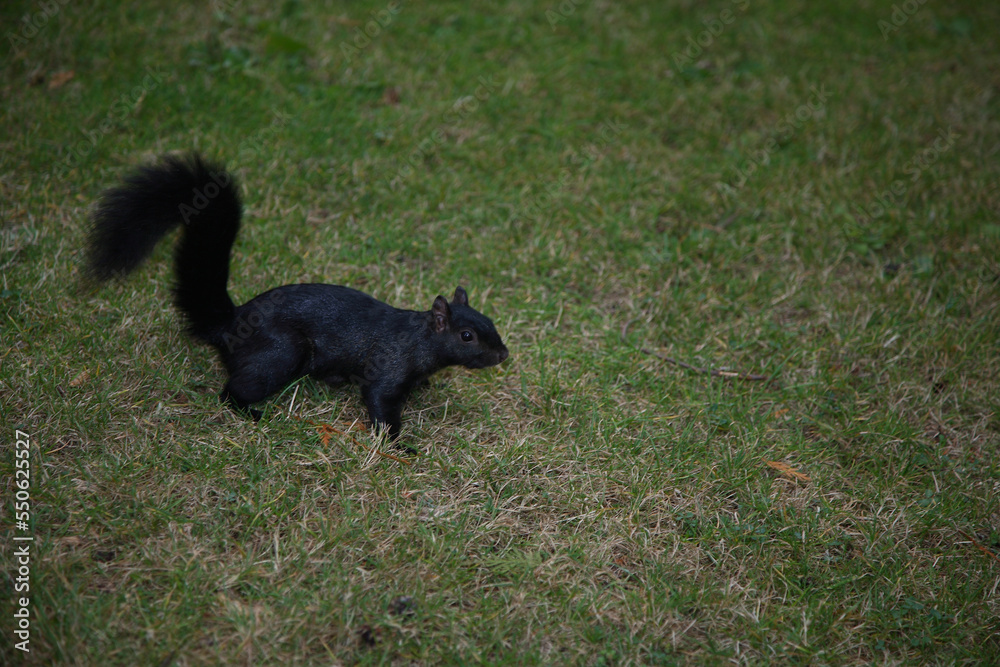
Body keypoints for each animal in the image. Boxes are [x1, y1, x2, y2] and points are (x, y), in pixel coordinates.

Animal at [84, 153, 509, 443]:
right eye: (467, 336)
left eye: (491, 322)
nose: (503, 355)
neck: (419, 339)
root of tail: (230, 325)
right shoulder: (386, 368)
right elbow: (380, 404)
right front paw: (396, 444)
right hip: (281, 354)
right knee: (232, 390)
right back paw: (252, 413)